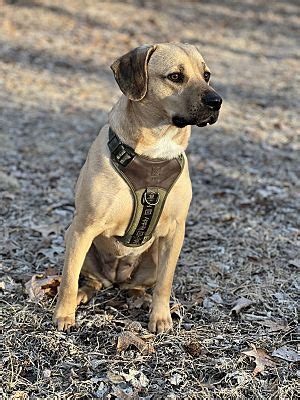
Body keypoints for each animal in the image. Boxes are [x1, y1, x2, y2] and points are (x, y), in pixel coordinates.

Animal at [53, 42, 223, 332]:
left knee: (138, 286)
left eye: (206, 75)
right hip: (76, 240)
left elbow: (165, 284)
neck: (155, 149)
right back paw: (83, 295)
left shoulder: (175, 233)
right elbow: (68, 279)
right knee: (89, 280)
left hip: (153, 258)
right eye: (175, 76)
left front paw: (161, 317)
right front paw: (64, 315)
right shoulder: (83, 228)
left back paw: (140, 298)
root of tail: (117, 278)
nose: (216, 101)